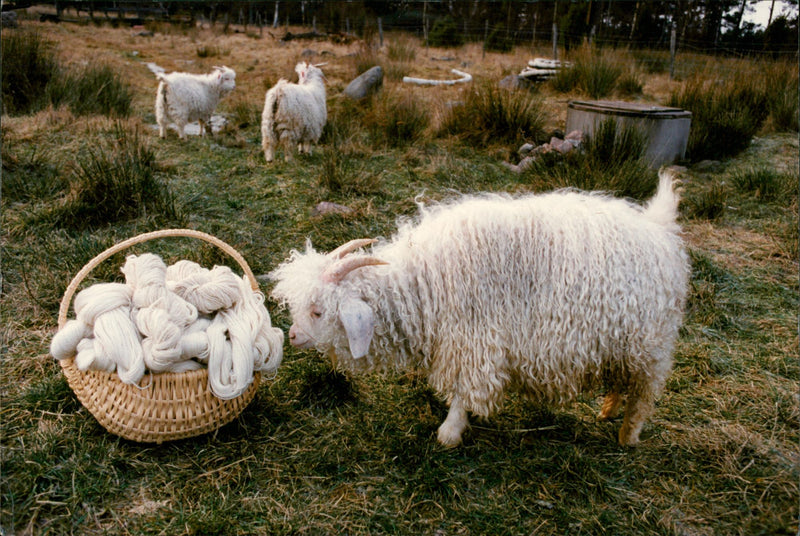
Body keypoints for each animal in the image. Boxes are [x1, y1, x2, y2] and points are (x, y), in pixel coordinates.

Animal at [272, 170, 692, 446]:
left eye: (318, 311)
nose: (291, 336)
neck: (424, 282)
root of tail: (660, 228)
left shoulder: (475, 339)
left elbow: (465, 389)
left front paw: (450, 432)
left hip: (649, 342)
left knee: (644, 392)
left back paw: (627, 435)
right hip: (621, 341)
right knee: (622, 380)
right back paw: (607, 410)